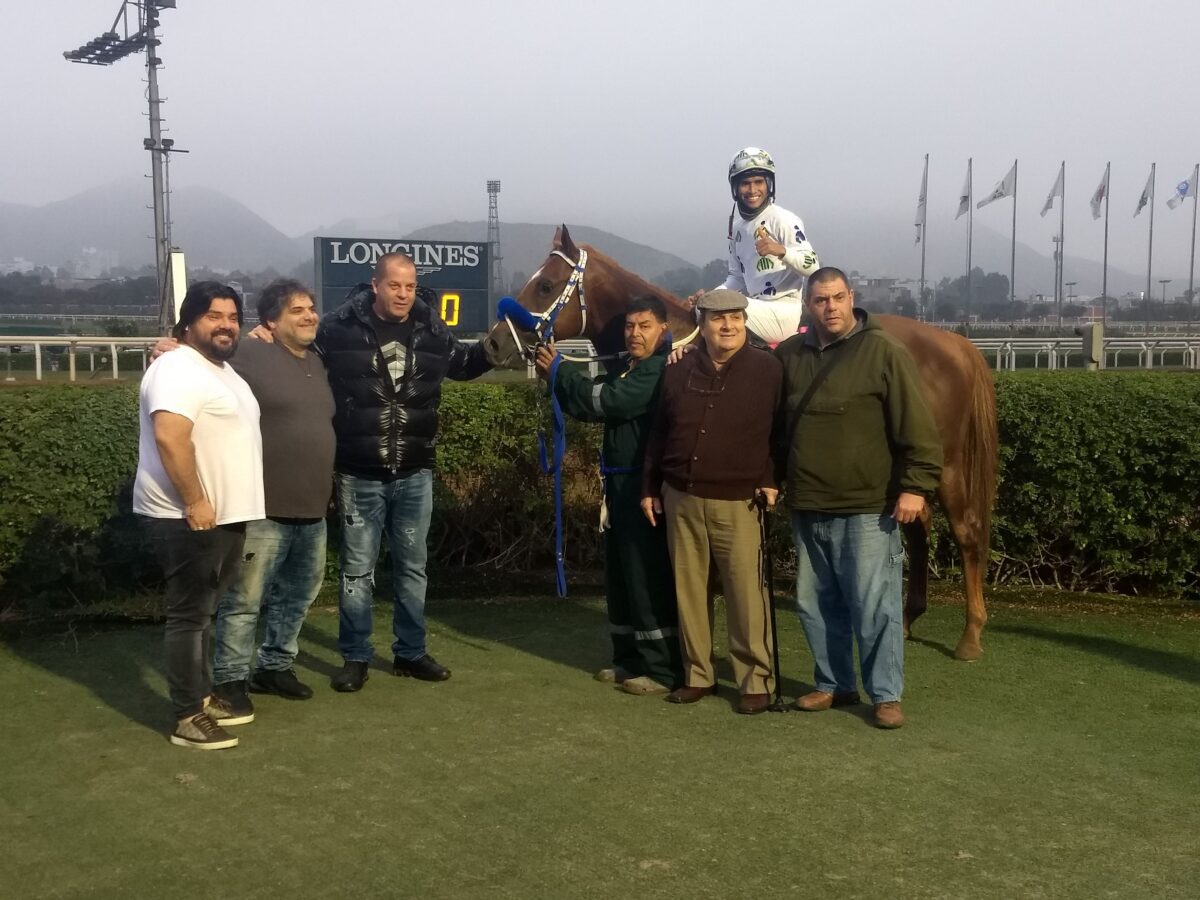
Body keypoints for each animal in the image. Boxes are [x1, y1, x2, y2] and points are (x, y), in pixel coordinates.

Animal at [482, 225, 998, 661]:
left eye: (545, 286)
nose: (492, 344)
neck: (675, 346)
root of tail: (956, 345)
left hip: (948, 462)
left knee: (967, 530)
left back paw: (971, 635)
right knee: (918, 525)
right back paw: (909, 619)